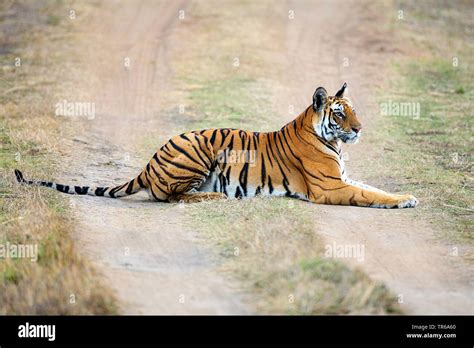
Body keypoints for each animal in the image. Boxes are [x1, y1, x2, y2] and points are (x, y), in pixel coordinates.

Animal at [12, 82, 416, 208]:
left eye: (354, 111)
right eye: (340, 114)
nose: (360, 129)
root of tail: (149, 163)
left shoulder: (342, 179)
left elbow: (374, 187)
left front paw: (407, 196)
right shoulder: (330, 187)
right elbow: (369, 195)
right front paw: (403, 201)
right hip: (197, 151)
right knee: (170, 197)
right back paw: (213, 196)